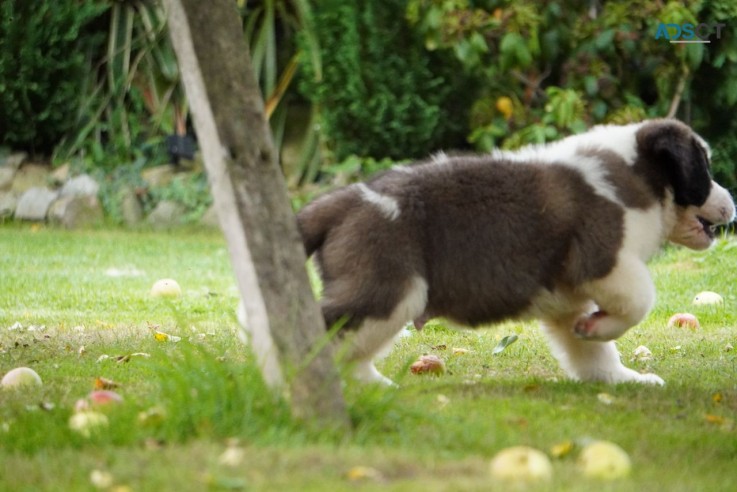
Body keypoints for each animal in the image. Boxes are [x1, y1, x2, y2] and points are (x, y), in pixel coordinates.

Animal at [296, 118, 732, 384]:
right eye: (705, 169)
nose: (732, 201)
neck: (635, 174)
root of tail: (343, 200)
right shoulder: (604, 259)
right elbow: (640, 299)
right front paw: (600, 328)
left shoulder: (568, 300)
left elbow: (591, 352)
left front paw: (618, 375)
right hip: (387, 289)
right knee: (327, 328)